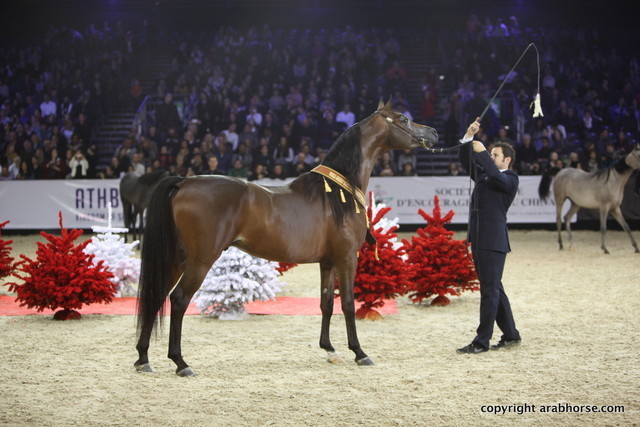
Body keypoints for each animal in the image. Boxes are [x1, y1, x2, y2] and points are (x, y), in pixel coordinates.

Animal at [134, 100, 438, 376]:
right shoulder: (346, 258)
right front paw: (359, 352)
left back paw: (143, 358)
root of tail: (183, 181)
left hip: (176, 259)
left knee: (157, 295)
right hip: (200, 260)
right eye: (404, 118)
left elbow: (326, 303)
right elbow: (348, 304)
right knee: (179, 300)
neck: (339, 192)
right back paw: (180, 362)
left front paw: (329, 349)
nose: (434, 132)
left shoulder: (327, 261)